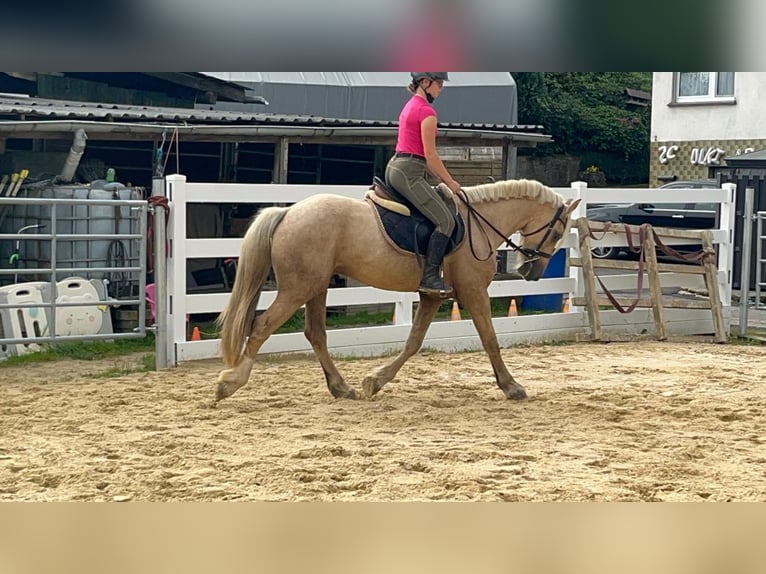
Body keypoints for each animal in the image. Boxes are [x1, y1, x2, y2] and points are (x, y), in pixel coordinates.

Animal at [215, 178, 580, 403]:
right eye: (558, 230)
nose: (531, 272)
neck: (479, 224)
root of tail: (289, 211)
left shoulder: (432, 296)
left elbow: (413, 342)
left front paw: (375, 381)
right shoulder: (474, 292)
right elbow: (490, 340)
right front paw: (511, 386)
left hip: (315, 286)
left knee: (315, 333)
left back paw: (341, 387)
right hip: (298, 288)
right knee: (261, 327)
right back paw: (230, 383)